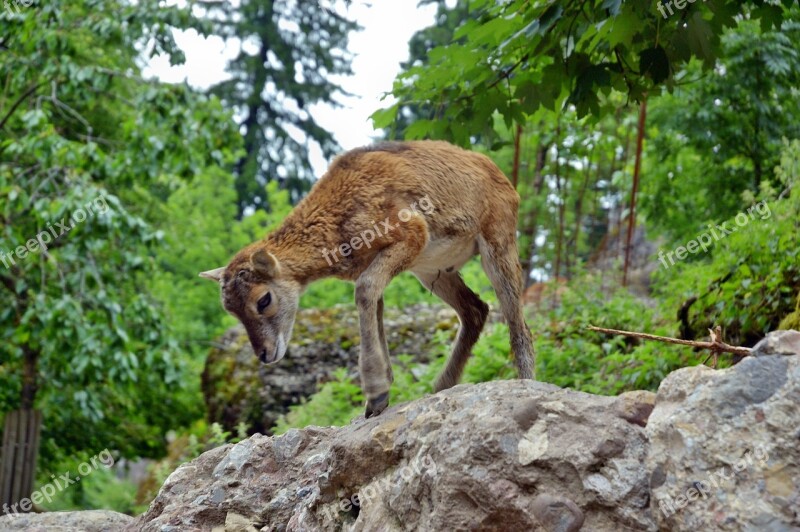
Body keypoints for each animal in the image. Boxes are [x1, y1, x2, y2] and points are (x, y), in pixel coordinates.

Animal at [200, 141, 536, 420]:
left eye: (263, 299)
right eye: (231, 310)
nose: (265, 354)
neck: (338, 217)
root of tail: (506, 181)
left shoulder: (410, 235)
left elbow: (365, 292)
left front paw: (375, 394)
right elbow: (375, 306)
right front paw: (379, 397)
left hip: (498, 243)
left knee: (518, 324)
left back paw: (526, 382)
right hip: (433, 271)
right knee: (475, 309)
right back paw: (441, 385)